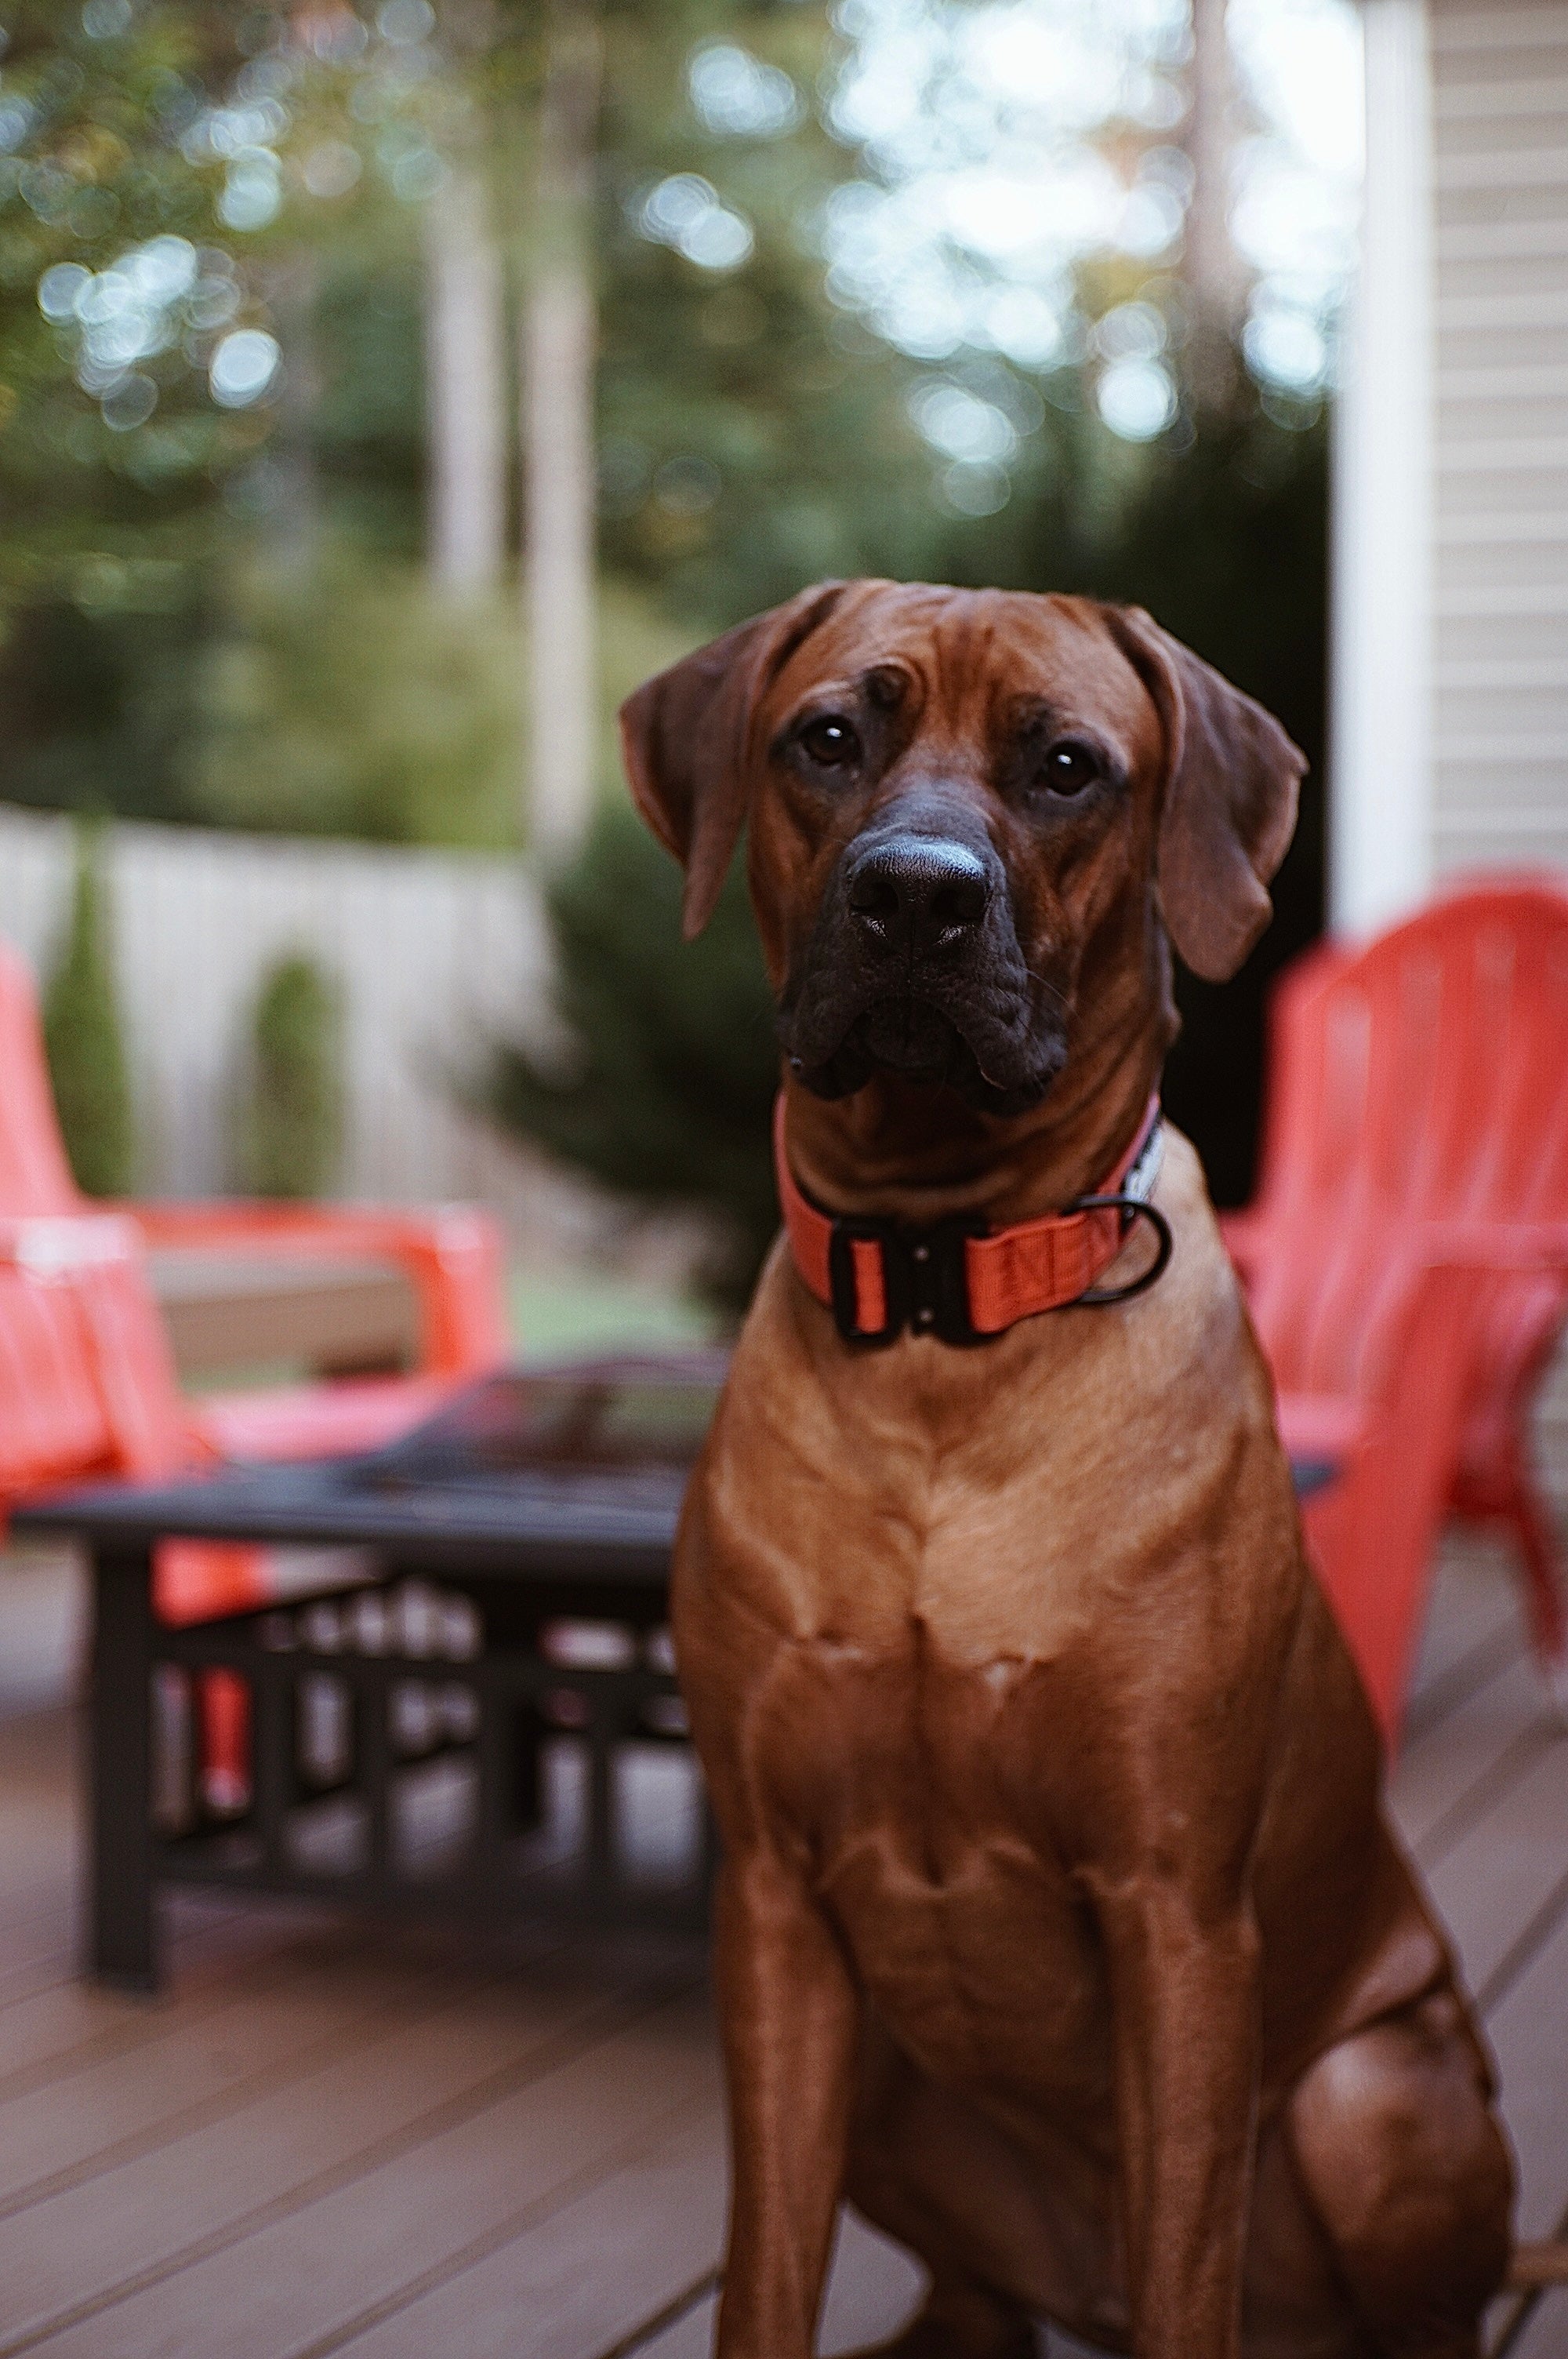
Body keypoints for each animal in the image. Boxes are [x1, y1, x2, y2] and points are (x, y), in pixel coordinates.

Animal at [617, 575, 1508, 2359]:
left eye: (1068, 767)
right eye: (828, 736)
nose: (914, 898)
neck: (944, 1303)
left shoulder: (1178, 1912)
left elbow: (1185, 2274)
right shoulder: (772, 1902)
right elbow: (762, 2277)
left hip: (1374, 2090)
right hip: (893, 2089)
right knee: (976, 2298)